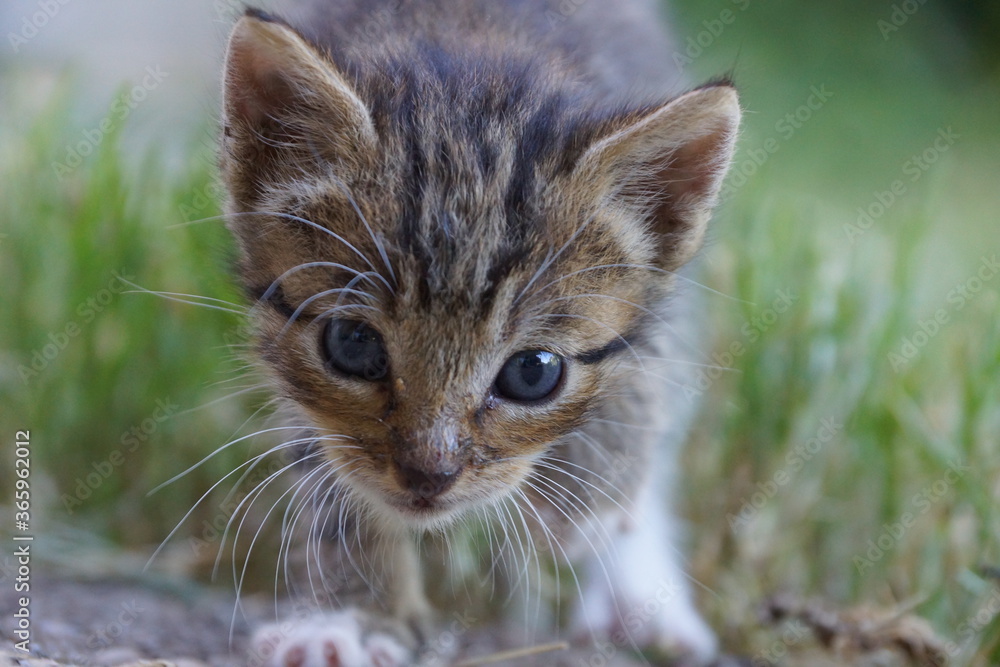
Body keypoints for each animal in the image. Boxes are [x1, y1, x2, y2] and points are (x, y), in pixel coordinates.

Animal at [217, 2, 736, 664]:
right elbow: (332, 477)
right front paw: (355, 615)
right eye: (353, 345)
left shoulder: (669, 283)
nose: (428, 478)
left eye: (532, 373)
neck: (475, 54)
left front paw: (588, 500)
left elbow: (652, 368)